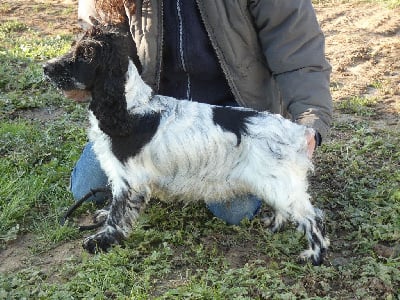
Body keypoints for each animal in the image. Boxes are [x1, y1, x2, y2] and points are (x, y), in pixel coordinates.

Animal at [44, 25, 332, 264]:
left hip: (280, 183)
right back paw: (274, 223)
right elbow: (114, 206)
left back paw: (313, 255)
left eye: (87, 54)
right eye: (74, 46)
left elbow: (119, 213)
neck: (130, 109)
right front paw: (103, 216)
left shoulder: (130, 179)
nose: (46, 67)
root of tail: (298, 131)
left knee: (312, 218)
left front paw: (101, 241)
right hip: (274, 184)